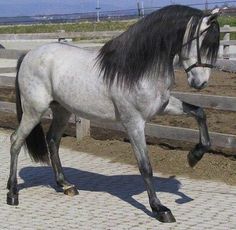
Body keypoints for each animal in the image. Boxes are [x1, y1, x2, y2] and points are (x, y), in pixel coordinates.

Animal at [6, 4, 219, 223]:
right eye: (203, 44)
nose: (200, 83)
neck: (139, 69)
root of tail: (29, 55)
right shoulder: (134, 123)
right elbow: (145, 166)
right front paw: (160, 209)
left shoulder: (164, 107)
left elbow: (200, 113)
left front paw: (194, 156)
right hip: (34, 110)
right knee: (16, 141)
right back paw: (13, 193)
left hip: (62, 111)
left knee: (52, 141)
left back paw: (66, 185)